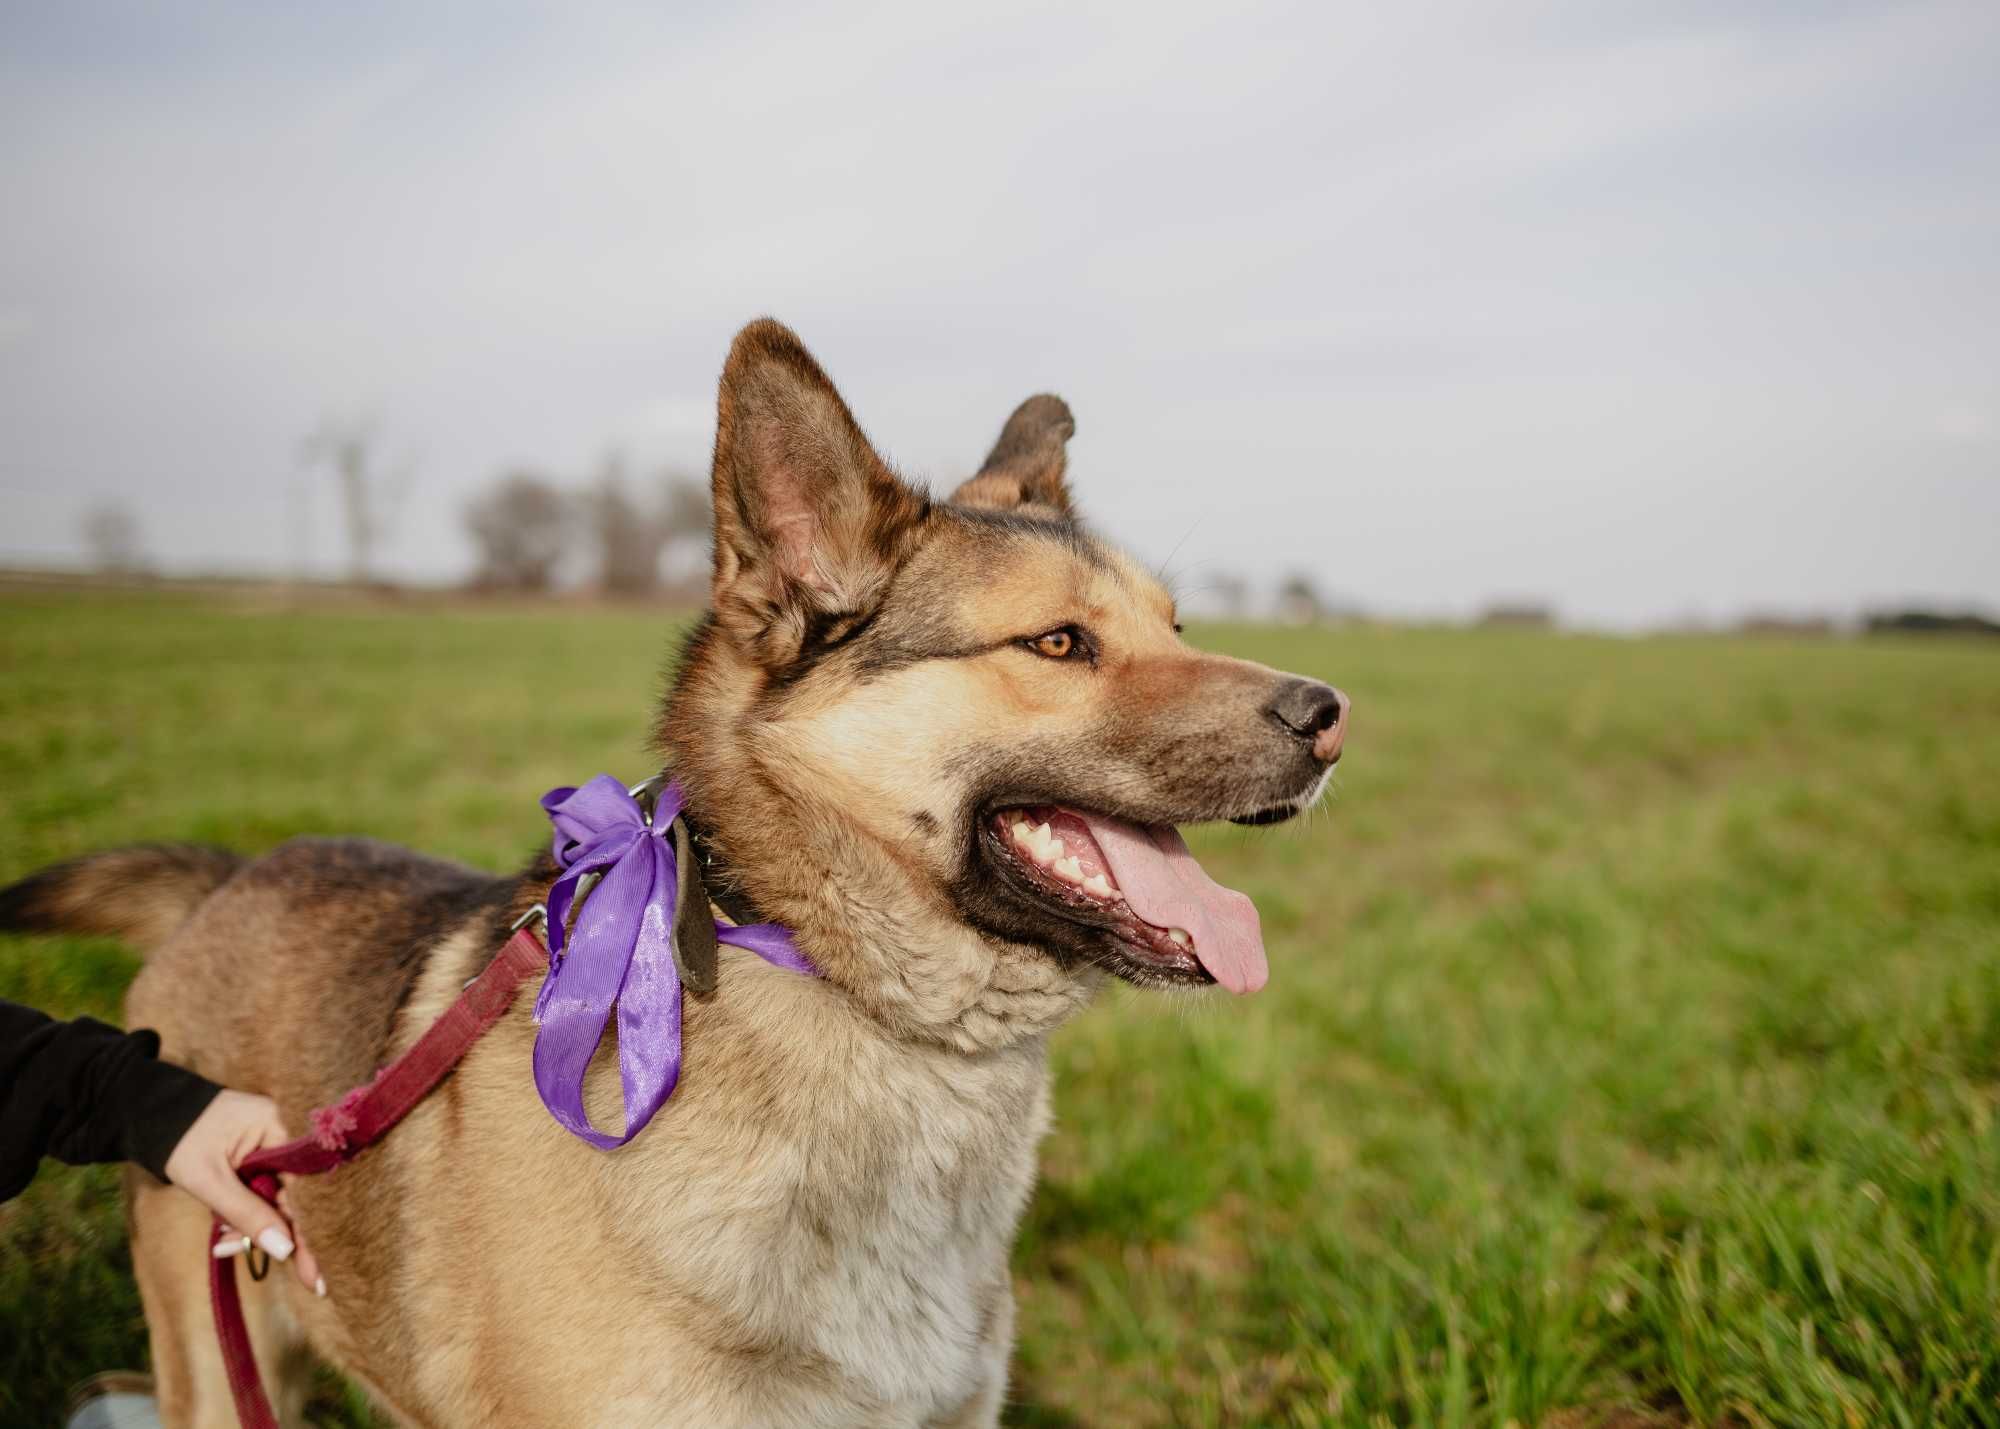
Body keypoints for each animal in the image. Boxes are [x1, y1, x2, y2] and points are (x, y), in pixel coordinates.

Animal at [0, 322, 1352, 1424]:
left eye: (1175, 626)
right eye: (1059, 644)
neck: (848, 995)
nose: (1333, 716)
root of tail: (228, 878)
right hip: (213, 1358)